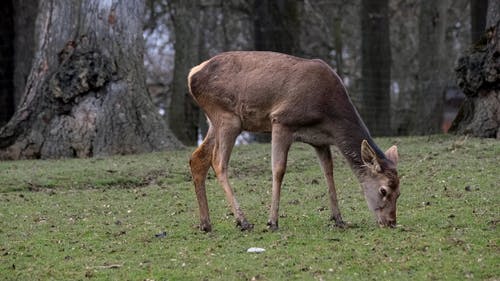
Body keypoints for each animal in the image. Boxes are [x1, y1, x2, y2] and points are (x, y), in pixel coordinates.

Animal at [187, 51, 398, 231]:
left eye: (399, 192)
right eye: (383, 190)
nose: (391, 222)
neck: (328, 116)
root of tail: (192, 74)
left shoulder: (320, 141)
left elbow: (328, 172)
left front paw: (338, 219)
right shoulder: (281, 120)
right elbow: (279, 169)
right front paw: (272, 221)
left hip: (214, 121)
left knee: (197, 158)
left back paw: (205, 223)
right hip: (228, 117)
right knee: (218, 162)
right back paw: (243, 221)